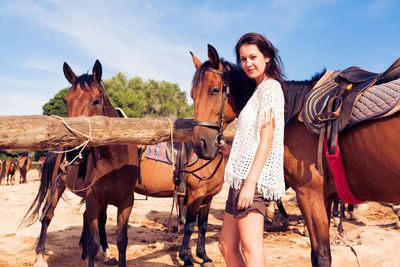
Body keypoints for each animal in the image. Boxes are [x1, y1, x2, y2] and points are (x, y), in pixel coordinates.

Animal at [22, 60, 141, 267]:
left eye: (96, 101)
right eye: (66, 101)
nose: (72, 151)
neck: (116, 162)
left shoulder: (126, 202)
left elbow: (121, 241)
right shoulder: (94, 200)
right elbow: (93, 243)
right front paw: (91, 252)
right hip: (57, 187)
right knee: (47, 216)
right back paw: (40, 256)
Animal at [190, 45, 400, 266]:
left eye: (214, 90)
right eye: (192, 96)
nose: (200, 145)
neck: (294, 110)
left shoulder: (310, 195)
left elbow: (321, 256)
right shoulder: (324, 197)